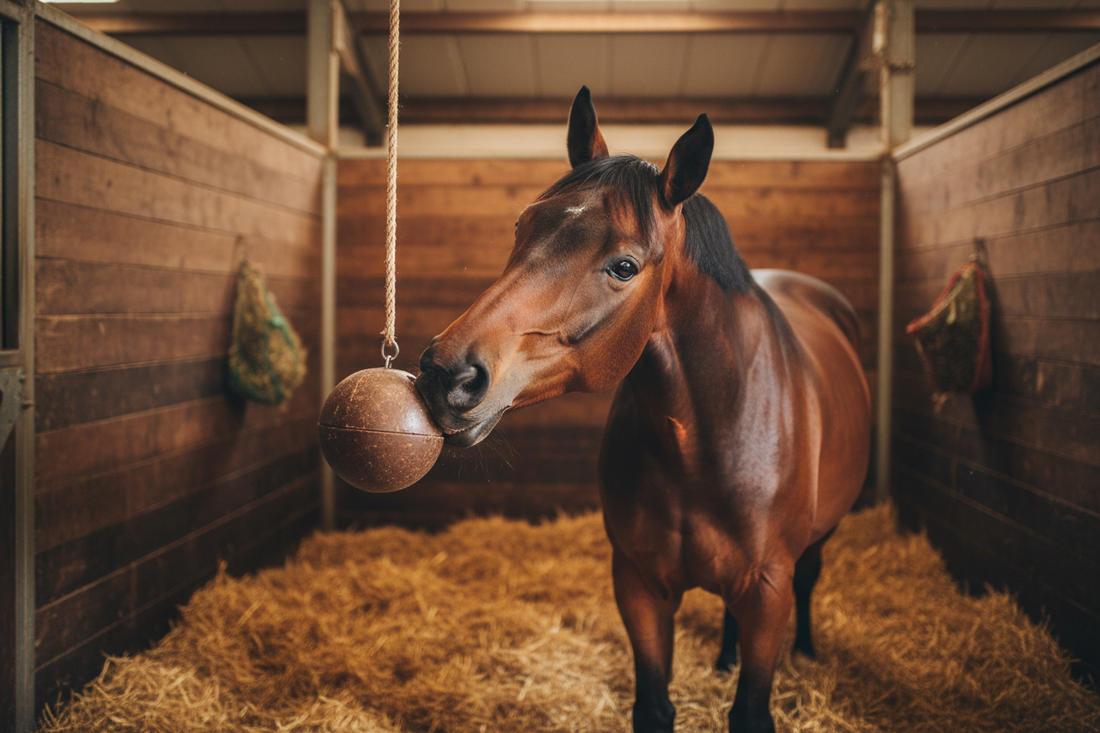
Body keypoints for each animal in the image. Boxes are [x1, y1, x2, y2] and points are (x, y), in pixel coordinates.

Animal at [414, 86, 872, 733]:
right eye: (522, 225)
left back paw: (805, 652)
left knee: (809, 578)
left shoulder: (767, 590)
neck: (702, 445)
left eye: (624, 267)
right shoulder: (638, 585)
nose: (445, 376)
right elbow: (654, 706)